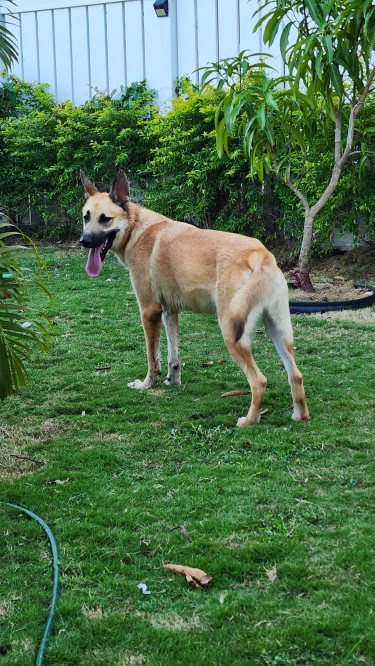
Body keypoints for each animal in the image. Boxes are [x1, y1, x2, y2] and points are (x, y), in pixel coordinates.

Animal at [81, 167, 310, 426]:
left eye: (105, 219)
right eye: (86, 217)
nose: (84, 241)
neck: (135, 228)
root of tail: (260, 254)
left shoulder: (149, 311)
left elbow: (152, 357)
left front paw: (148, 384)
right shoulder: (169, 312)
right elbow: (173, 356)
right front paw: (173, 381)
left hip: (232, 333)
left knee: (259, 380)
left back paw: (249, 421)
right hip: (278, 331)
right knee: (296, 375)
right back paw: (300, 416)